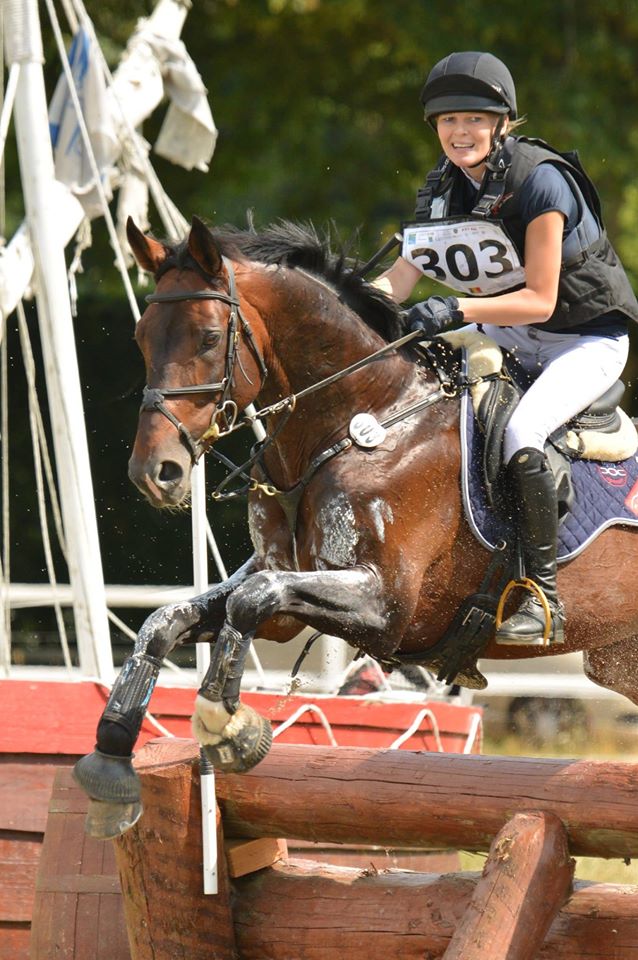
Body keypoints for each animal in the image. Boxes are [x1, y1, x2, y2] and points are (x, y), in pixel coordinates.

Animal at [74, 218, 638, 840]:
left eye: (206, 337)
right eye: (141, 339)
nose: (156, 473)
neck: (363, 416)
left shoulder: (386, 606)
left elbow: (251, 598)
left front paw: (227, 726)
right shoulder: (287, 599)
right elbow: (166, 620)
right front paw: (111, 757)